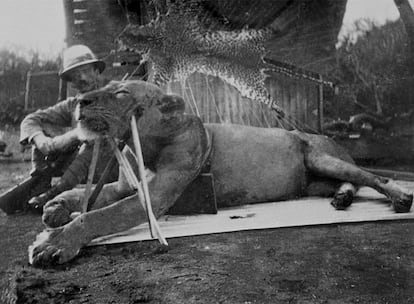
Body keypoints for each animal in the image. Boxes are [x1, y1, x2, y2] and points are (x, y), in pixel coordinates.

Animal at [27, 80, 412, 266]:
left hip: (323, 159)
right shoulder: (125, 186)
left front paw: (55, 242)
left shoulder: (158, 195)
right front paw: (56, 205)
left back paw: (400, 197)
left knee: (372, 178)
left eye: (120, 93)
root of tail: (327, 136)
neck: (145, 143)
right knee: (351, 184)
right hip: (314, 182)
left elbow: (99, 215)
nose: (80, 101)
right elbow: (91, 195)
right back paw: (342, 198)